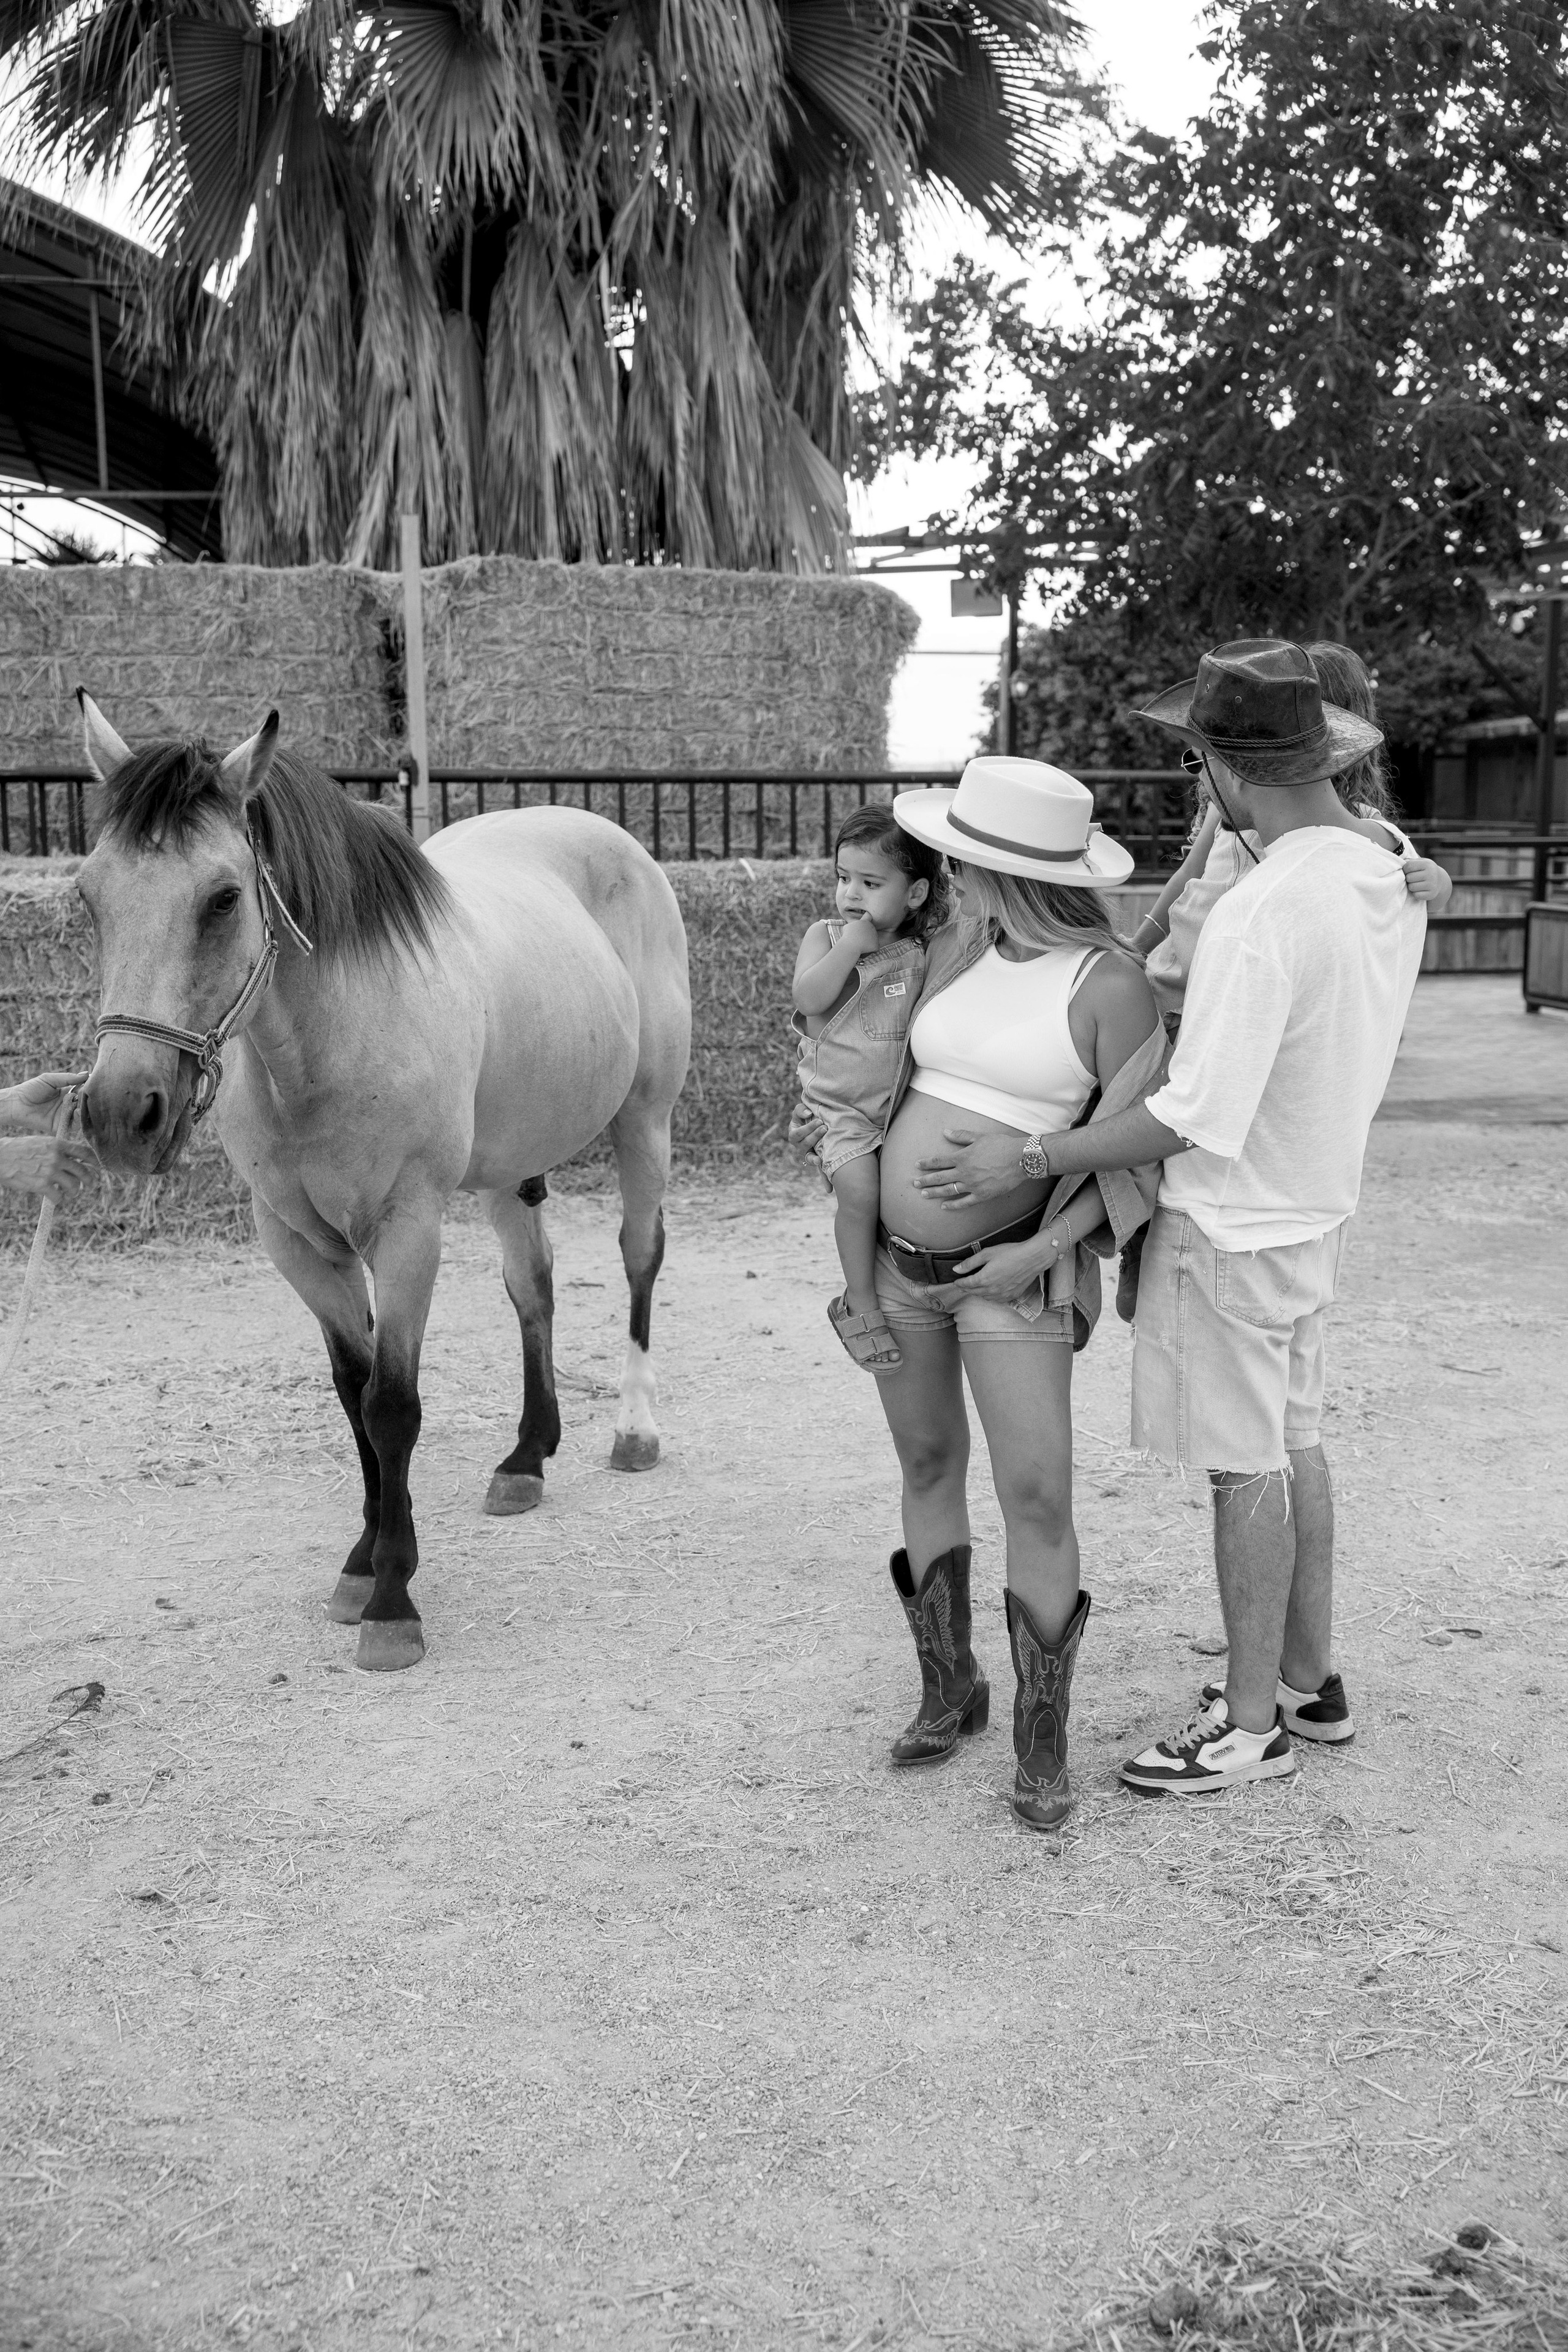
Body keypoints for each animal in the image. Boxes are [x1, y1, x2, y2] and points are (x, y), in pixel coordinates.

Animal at [73, 693, 690, 1671]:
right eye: (89, 896)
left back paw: (633, 1430)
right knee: (533, 1287)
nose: (119, 1113)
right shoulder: (298, 1244)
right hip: (508, 1170)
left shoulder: (406, 1232)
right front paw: (361, 1561)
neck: (327, 1044)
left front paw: (394, 1599)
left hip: (645, 1123)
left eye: (222, 898)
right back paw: (526, 1456)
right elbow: (352, 1395)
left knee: (639, 1259)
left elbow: (392, 1404)